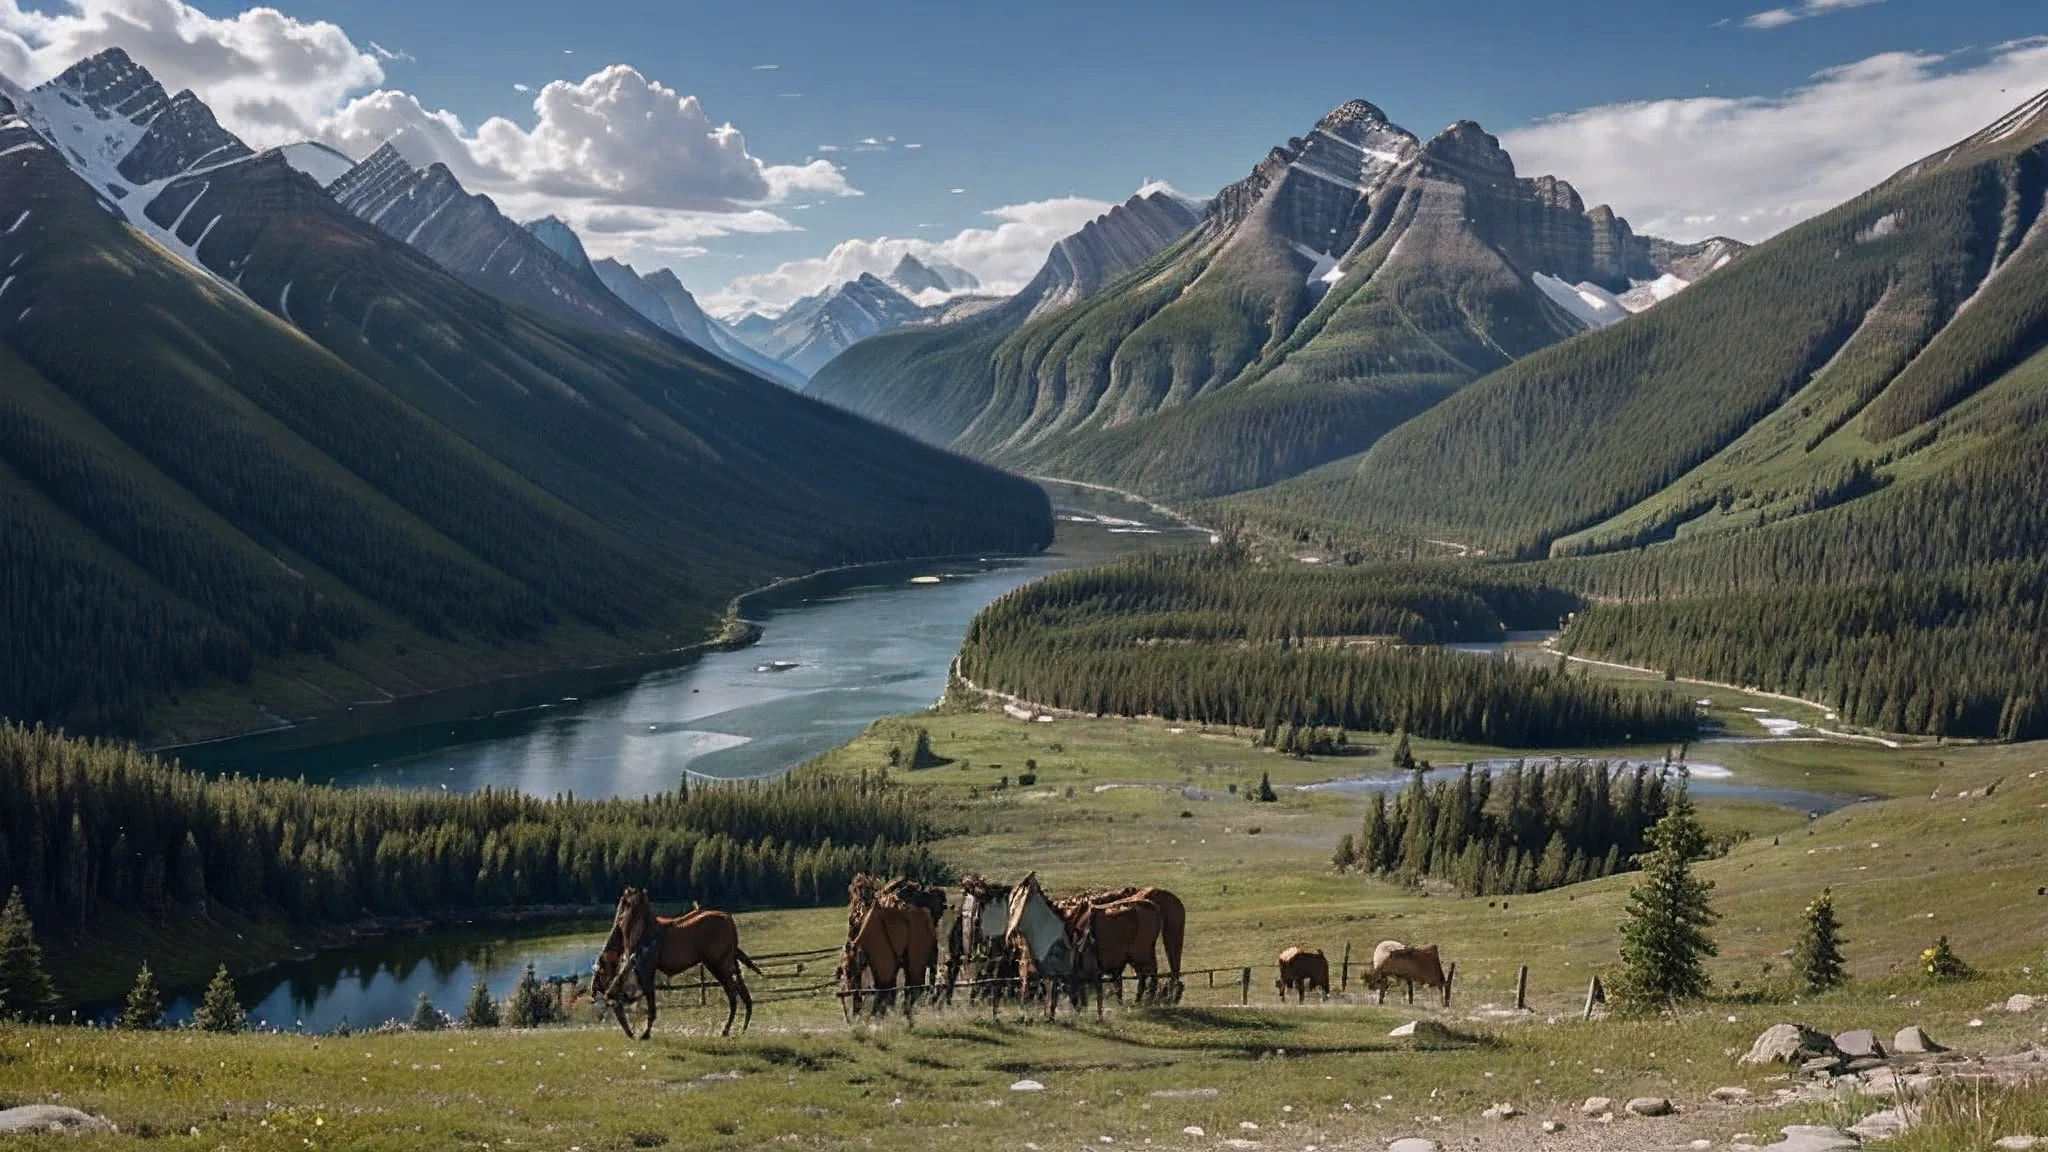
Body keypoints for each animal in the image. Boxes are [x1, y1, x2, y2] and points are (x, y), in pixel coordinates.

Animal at [598, 881, 765, 1037]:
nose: (617, 919)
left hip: (719, 965)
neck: (643, 932)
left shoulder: (645, 968)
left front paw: (644, 1032)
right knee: (744, 994)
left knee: (734, 996)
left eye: (624, 903)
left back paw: (726, 1030)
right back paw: (742, 1028)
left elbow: (649, 998)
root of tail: (729, 919)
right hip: (728, 964)